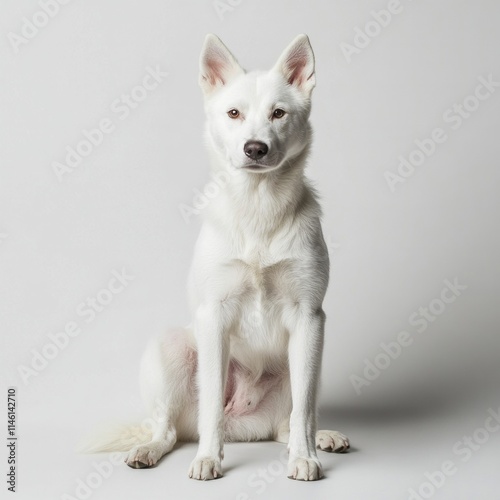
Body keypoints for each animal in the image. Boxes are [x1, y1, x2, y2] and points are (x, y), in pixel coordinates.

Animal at [86, 34, 350, 480]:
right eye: (234, 113)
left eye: (278, 113)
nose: (255, 148)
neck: (258, 208)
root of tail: (245, 424)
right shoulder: (214, 316)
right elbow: (210, 404)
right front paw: (208, 458)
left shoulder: (310, 317)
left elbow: (303, 413)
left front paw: (305, 457)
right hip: (171, 347)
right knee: (171, 429)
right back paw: (152, 448)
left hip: (309, 359)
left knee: (291, 420)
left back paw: (321, 438)